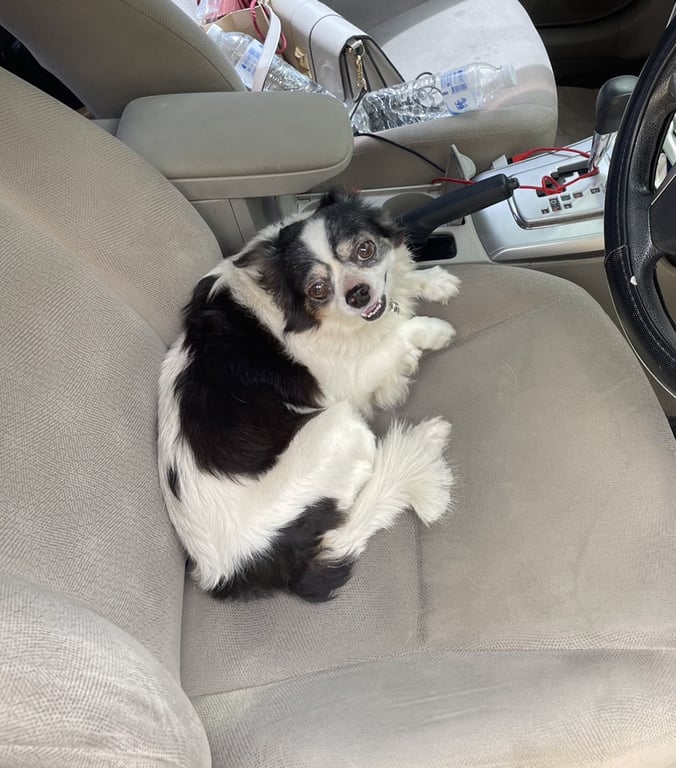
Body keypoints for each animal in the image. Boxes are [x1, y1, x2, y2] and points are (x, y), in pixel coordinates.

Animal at [158, 190, 460, 602]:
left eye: (365, 250)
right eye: (318, 289)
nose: (358, 294)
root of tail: (238, 568)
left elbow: (400, 285)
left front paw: (431, 281)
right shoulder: (349, 376)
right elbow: (400, 332)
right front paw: (429, 332)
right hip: (342, 427)